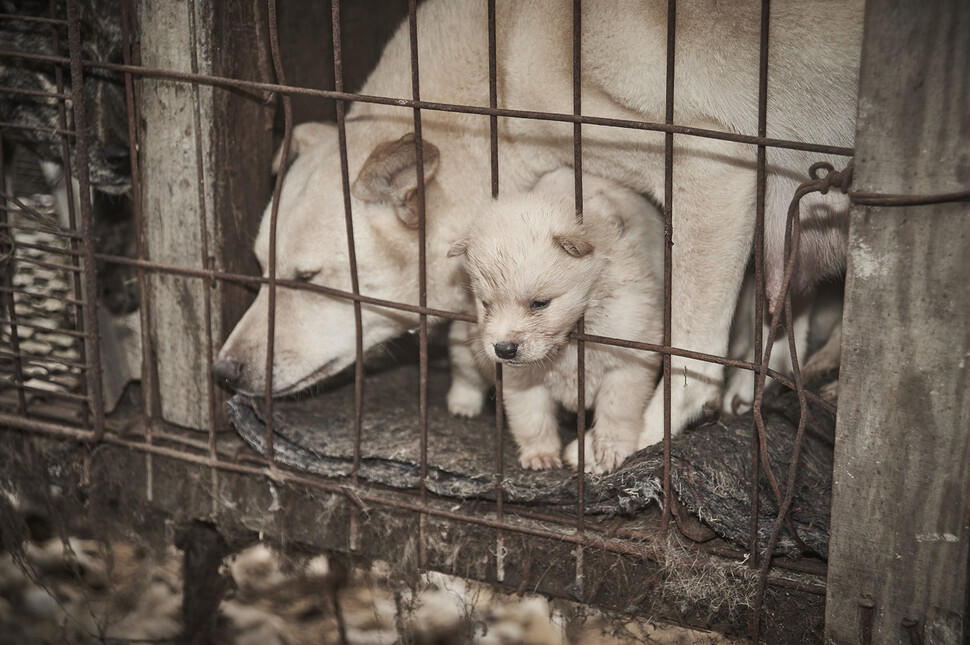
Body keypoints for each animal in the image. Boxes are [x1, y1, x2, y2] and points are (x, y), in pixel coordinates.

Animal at [448, 170, 660, 472]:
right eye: (486, 304)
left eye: (540, 303)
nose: (503, 349)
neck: (571, 340)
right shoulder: (522, 381)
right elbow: (533, 420)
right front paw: (540, 454)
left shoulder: (628, 364)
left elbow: (617, 413)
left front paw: (610, 450)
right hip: (467, 346)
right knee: (465, 375)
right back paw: (462, 404)